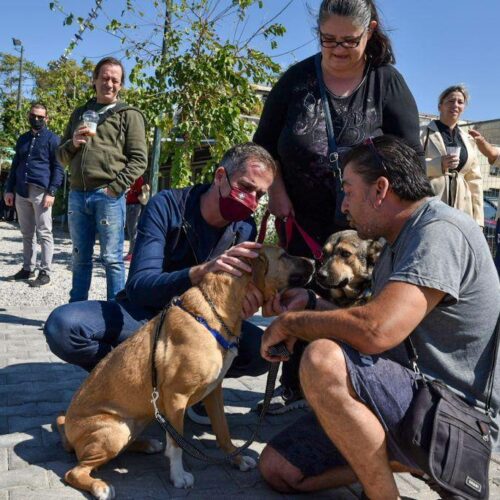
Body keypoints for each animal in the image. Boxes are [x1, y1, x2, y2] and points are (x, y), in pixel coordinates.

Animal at [55, 247, 312, 500]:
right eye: (284, 255)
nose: (314, 261)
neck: (214, 315)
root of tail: (66, 430)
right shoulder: (176, 397)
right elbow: (177, 444)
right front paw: (178, 476)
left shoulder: (214, 392)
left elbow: (223, 432)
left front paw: (236, 459)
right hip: (113, 432)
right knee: (74, 472)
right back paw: (101, 487)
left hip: (131, 426)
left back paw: (148, 444)